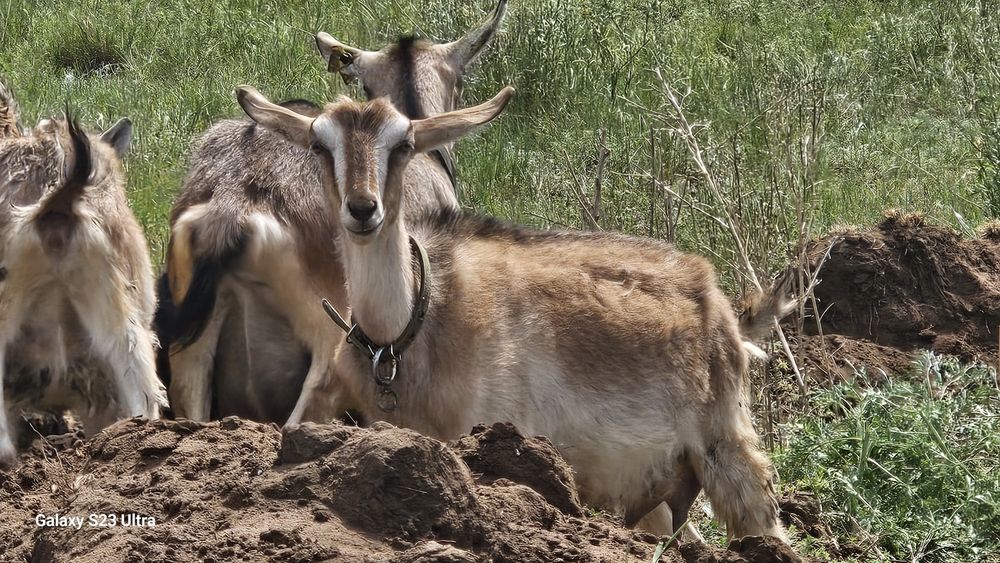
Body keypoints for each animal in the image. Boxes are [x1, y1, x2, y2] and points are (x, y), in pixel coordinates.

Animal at [235, 85, 790, 541]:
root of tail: (717, 300)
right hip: (651, 480)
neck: (413, 323)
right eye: (319, 145)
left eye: (403, 144)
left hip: (725, 445)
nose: (363, 209)